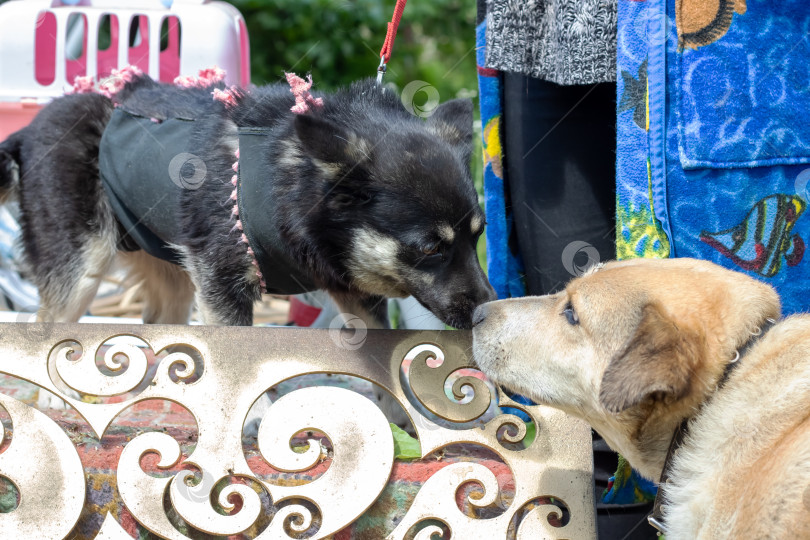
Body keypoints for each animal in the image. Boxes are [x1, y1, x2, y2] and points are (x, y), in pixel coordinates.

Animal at [0, 73, 492, 330]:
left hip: (171, 276)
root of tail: (29, 128)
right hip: (80, 274)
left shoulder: (355, 294)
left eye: (478, 237)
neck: (288, 184)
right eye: (430, 247)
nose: (488, 311)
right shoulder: (223, 290)